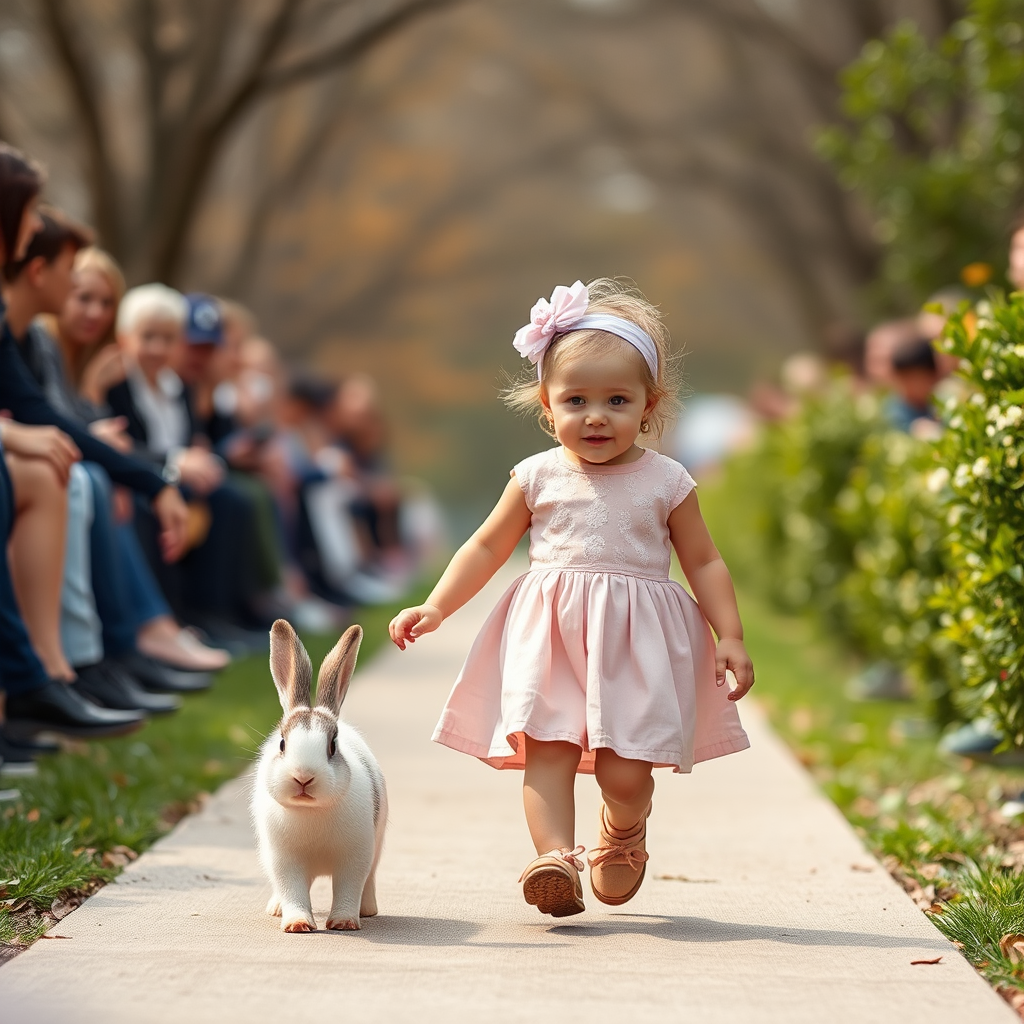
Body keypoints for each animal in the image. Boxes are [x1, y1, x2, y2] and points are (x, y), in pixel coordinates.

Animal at [251, 618, 387, 933]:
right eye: (282, 743)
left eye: (332, 746)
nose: (303, 777)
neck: (310, 812)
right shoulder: (284, 860)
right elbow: (293, 891)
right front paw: (297, 924)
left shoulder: (356, 855)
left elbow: (349, 887)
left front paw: (344, 922)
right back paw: (275, 908)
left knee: (369, 881)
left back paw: (368, 910)